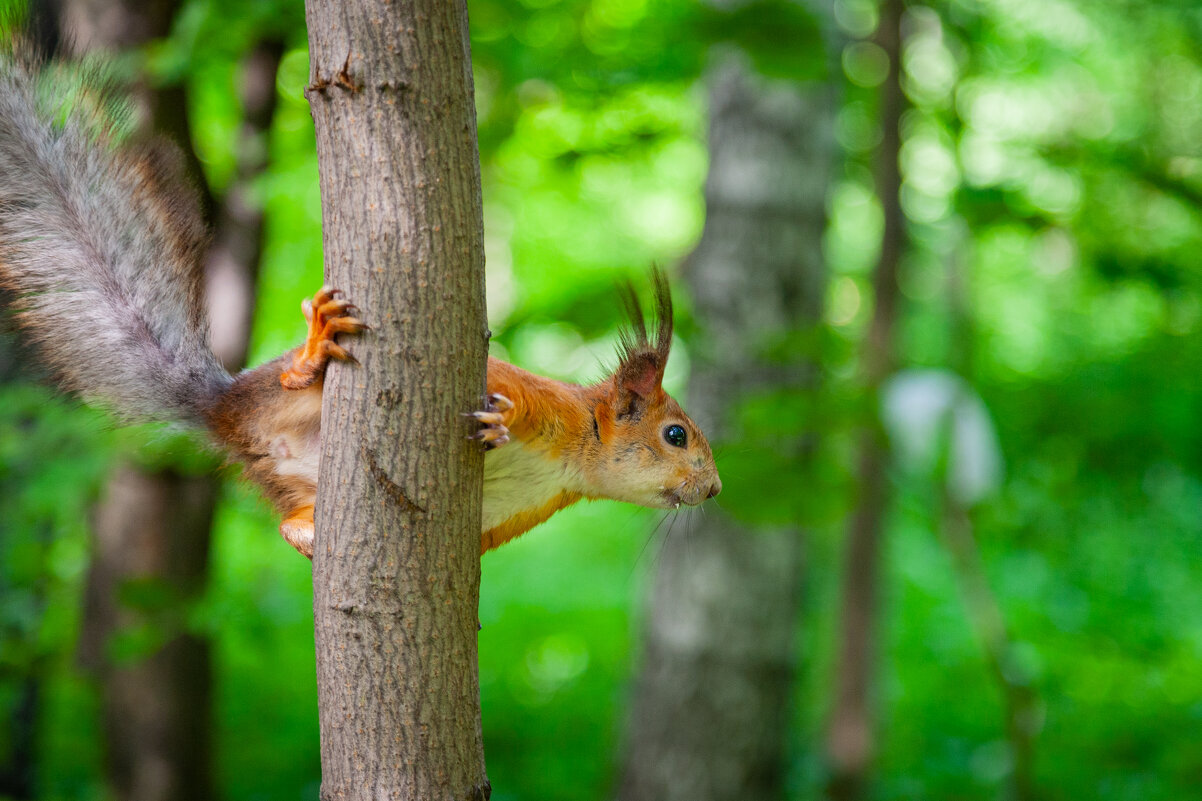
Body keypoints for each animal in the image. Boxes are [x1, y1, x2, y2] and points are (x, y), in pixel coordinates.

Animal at [0, 52, 716, 558]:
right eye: (675, 434)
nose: (712, 489)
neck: (575, 458)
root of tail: (223, 412)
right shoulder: (547, 404)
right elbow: (510, 396)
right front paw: (501, 423)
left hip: (291, 482)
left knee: (288, 518)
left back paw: (308, 536)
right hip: (283, 399)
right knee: (297, 380)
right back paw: (316, 348)